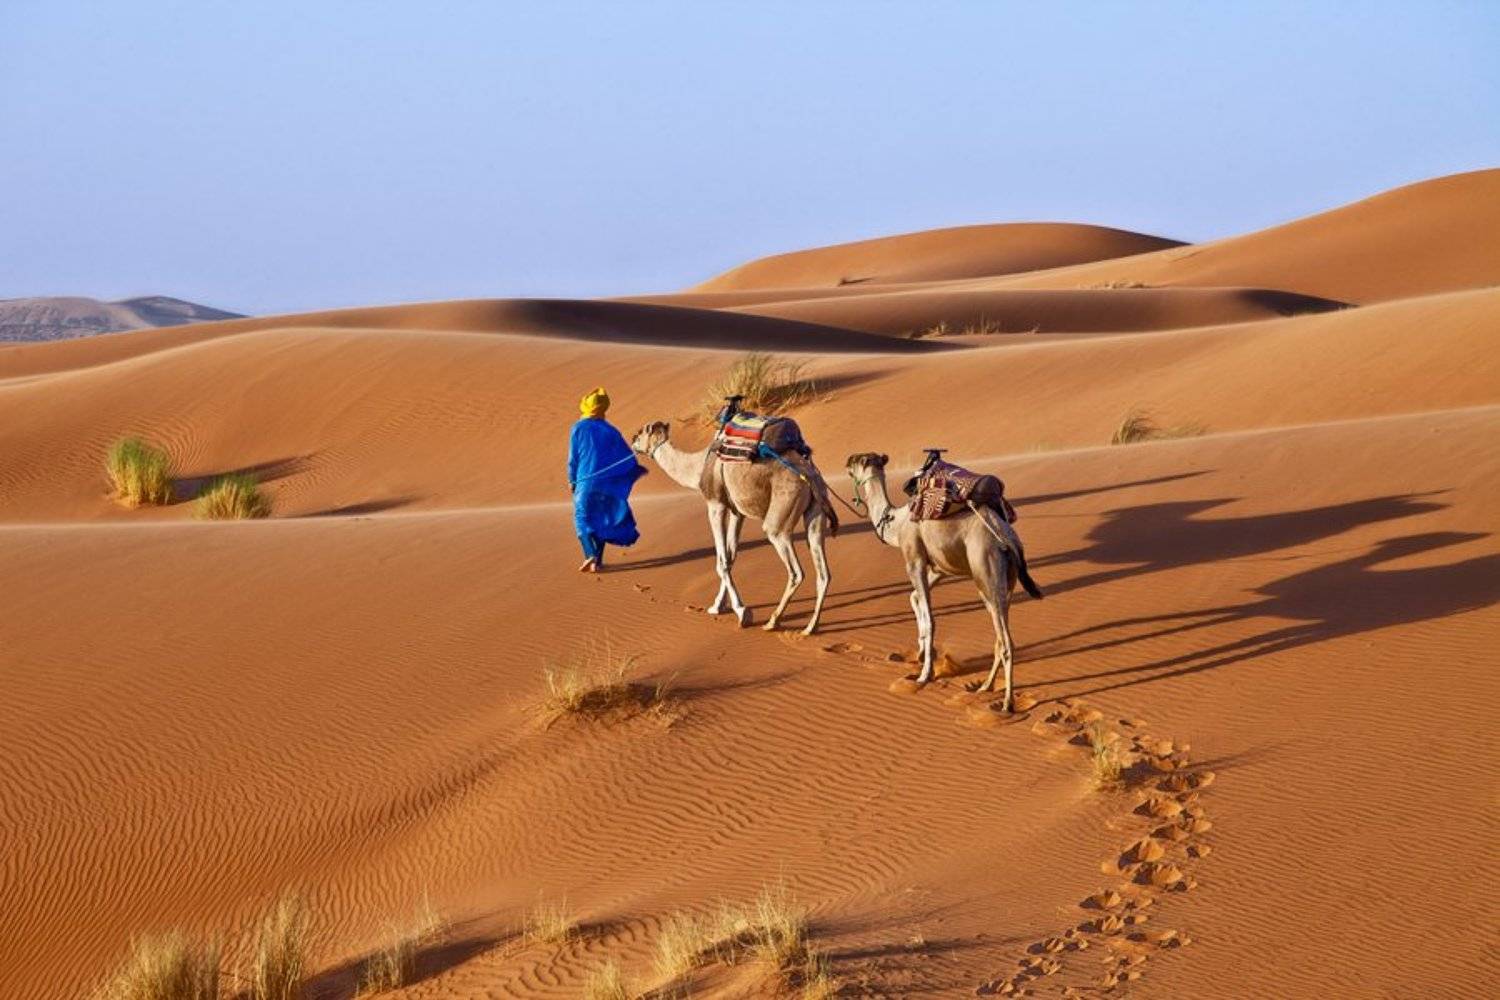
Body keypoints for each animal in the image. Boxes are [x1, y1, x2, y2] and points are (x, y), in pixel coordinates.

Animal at [631, 420, 836, 635]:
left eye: (640, 433)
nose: (632, 441)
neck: (699, 466)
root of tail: (810, 476)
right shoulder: (738, 511)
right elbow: (730, 558)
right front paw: (718, 606)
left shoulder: (716, 505)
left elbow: (721, 561)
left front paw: (742, 612)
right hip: (816, 511)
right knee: (823, 572)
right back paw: (810, 627)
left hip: (779, 518)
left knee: (795, 570)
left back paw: (773, 621)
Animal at [844, 452, 1043, 712]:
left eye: (859, 459)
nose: (847, 462)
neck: (896, 524)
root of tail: (1009, 539)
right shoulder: (940, 566)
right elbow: (915, 597)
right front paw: (920, 651)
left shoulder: (914, 559)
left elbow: (930, 618)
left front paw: (924, 674)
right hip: (1003, 582)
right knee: (1000, 637)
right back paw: (985, 687)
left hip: (987, 572)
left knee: (1006, 642)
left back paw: (1006, 703)